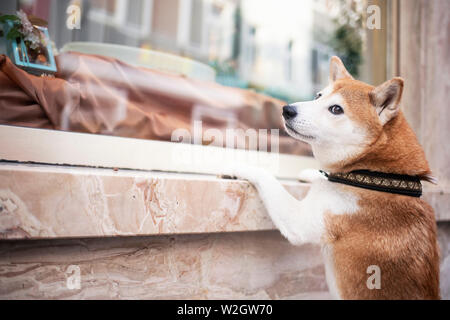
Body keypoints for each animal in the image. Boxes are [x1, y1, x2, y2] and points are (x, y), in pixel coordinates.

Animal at [224, 56, 440, 298]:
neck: (377, 176)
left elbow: (268, 178)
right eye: (318, 96)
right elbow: (323, 176)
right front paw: (310, 173)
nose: (287, 109)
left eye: (336, 109)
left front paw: (239, 164)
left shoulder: (300, 220)